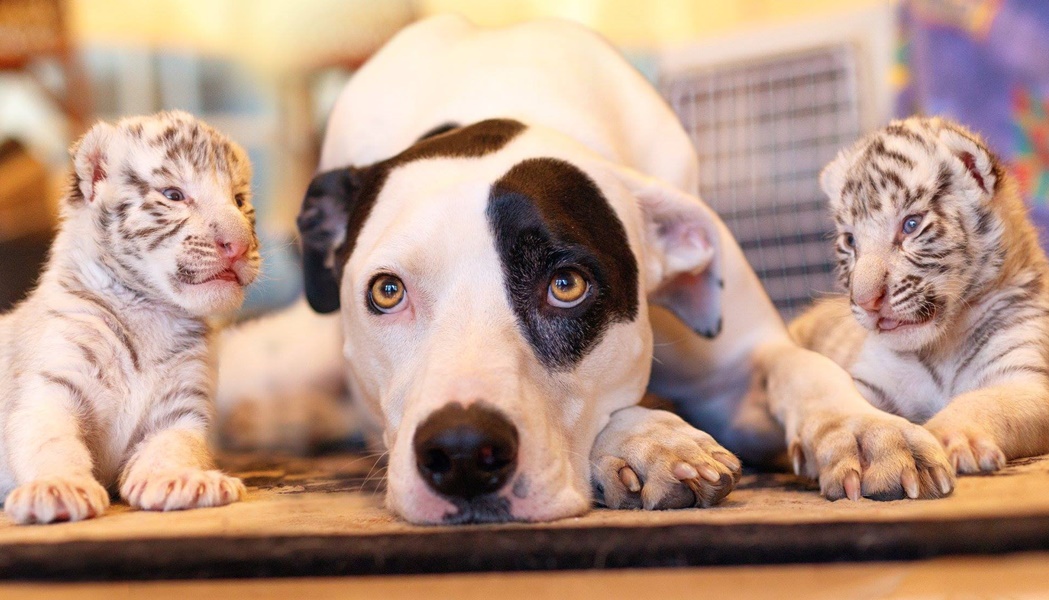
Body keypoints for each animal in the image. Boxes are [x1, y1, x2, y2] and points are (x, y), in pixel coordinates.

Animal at [217, 12, 956, 520]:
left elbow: (801, 366)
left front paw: (862, 430)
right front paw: (648, 443)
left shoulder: (740, 362)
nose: (462, 453)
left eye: (566, 285)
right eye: (387, 292)